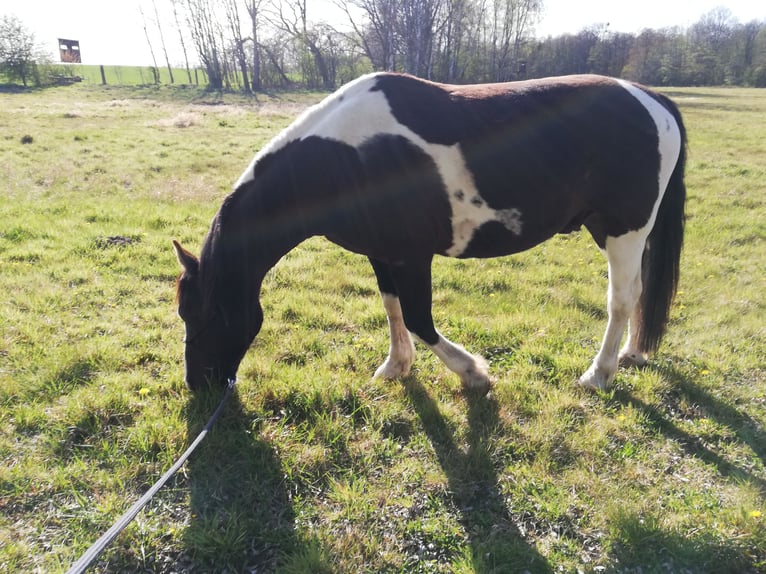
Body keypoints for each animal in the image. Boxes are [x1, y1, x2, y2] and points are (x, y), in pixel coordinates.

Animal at [176, 71, 688, 396]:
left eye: (203, 316)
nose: (198, 385)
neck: (346, 159)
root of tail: (650, 98)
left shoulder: (412, 256)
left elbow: (421, 319)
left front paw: (474, 374)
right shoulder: (382, 254)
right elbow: (393, 308)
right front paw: (395, 367)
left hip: (623, 230)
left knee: (622, 299)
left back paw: (598, 374)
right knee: (638, 293)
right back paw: (631, 354)